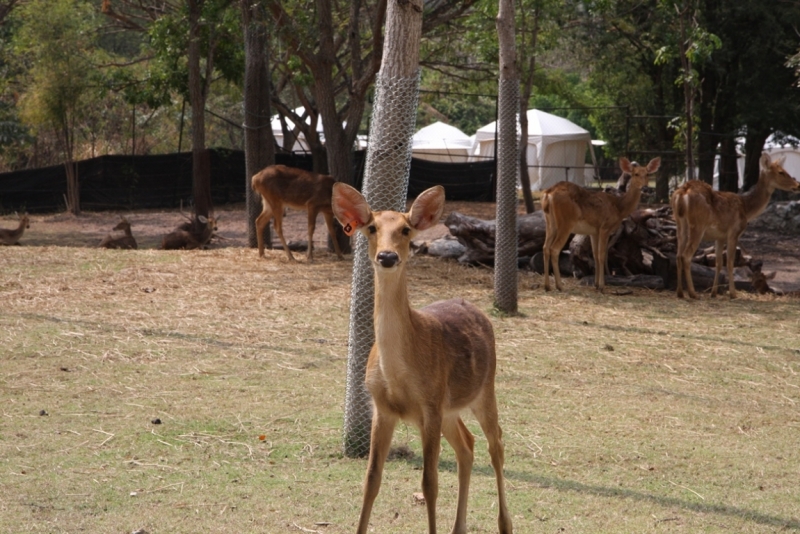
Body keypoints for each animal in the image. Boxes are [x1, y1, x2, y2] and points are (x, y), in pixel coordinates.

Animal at [332, 183, 512, 534]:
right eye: (371, 227)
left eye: (406, 229)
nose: (387, 256)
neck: (399, 373)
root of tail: (478, 311)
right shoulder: (383, 408)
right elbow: (371, 479)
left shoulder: (430, 404)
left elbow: (430, 484)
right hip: (450, 408)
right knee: (467, 445)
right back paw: (459, 527)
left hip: (485, 389)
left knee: (495, 443)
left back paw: (505, 524)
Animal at [540, 158, 664, 294]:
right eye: (635, 174)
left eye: (647, 174)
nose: (646, 188)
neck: (619, 208)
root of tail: (548, 193)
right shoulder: (605, 227)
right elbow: (602, 254)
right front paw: (601, 286)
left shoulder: (594, 231)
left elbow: (595, 254)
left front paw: (595, 284)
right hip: (566, 223)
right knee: (554, 249)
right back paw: (559, 286)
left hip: (550, 222)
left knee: (545, 247)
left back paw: (547, 286)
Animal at [672, 153, 796, 300]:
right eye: (781, 172)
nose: (797, 185)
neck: (746, 208)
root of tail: (682, 193)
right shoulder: (734, 231)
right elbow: (730, 262)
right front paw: (733, 293)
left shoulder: (719, 236)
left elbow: (719, 263)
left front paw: (714, 293)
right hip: (697, 225)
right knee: (686, 256)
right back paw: (693, 293)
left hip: (680, 224)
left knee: (678, 255)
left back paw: (680, 292)